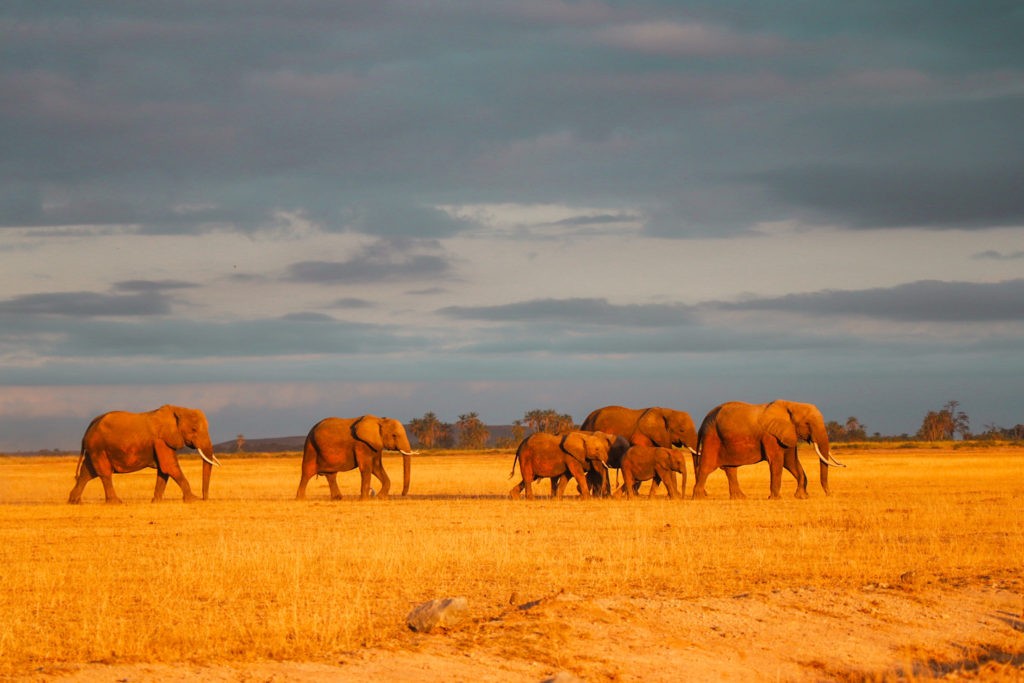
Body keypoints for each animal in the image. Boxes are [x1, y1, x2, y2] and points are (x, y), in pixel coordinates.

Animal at [69, 403, 221, 505]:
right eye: (194, 429)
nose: (205, 498)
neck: (178, 409)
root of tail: (89, 427)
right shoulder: (161, 440)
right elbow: (170, 466)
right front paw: (193, 500)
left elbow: (164, 470)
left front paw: (156, 502)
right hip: (99, 448)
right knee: (104, 473)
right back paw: (116, 502)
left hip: (95, 449)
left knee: (87, 473)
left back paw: (74, 501)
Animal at [688, 397, 847, 499]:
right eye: (807, 423)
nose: (830, 494)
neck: (791, 405)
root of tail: (704, 420)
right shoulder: (770, 435)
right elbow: (777, 462)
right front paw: (776, 498)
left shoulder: (787, 433)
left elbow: (791, 461)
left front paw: (801, 496)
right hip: (712, 437)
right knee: (707, 466)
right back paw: (699, 498)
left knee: (730, 469)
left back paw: (740, 498)